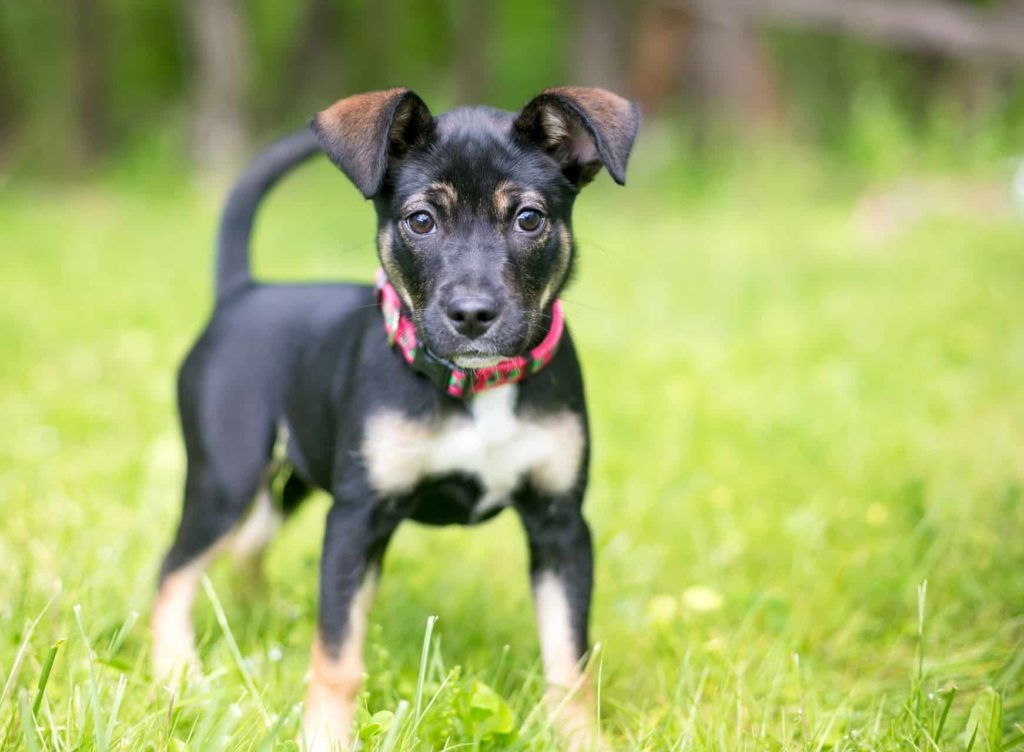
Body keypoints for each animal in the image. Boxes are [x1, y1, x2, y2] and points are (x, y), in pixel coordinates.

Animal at [149, 87, 638, 749]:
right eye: (421, 221)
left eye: (529, 219)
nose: (472, 314)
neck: (476, 388)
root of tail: (242, 293)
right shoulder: (357, 519)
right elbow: (336, 658)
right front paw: (325, 738)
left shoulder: (561, 524)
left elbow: (568, 661)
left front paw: (580, 738)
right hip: (226, 475)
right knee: (174, 572)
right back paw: (178, 676)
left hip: (294, 476)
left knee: (248, 543)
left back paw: (255, 615)